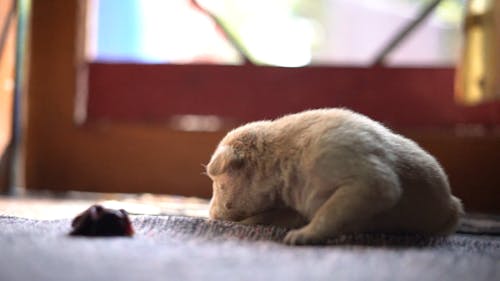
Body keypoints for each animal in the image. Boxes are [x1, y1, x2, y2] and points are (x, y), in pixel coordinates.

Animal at [205, 108, 462, 244]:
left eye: (218, 184)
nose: (210, 213)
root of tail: (452, 202)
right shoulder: (291, 207)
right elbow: (273, 216)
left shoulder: (364, 180)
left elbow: (330, 212)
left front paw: (303, 236)